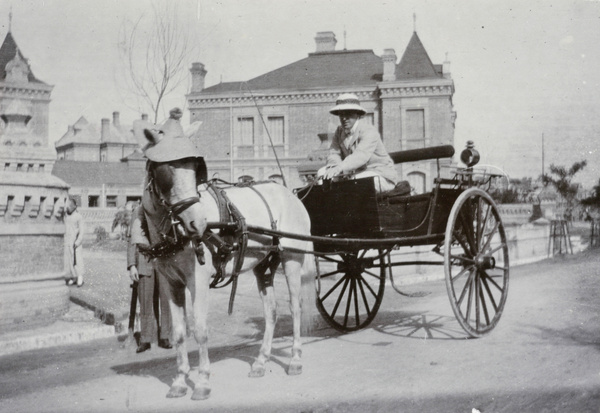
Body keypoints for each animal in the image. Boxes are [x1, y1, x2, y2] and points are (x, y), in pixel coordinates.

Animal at [136, 122, 314, 400]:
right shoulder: (170, 283)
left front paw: (202, 381)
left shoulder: (197, 281)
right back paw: (261, 361)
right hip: (264, 264)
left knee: (295, 307)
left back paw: (295, 359)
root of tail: (290, 194)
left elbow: (199, 329)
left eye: (195, 171)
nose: (197, 223)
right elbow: (179, 333)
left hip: (292, 260)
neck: (174, 233)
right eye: (166, 171)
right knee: (271, 311)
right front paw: (179, 382)